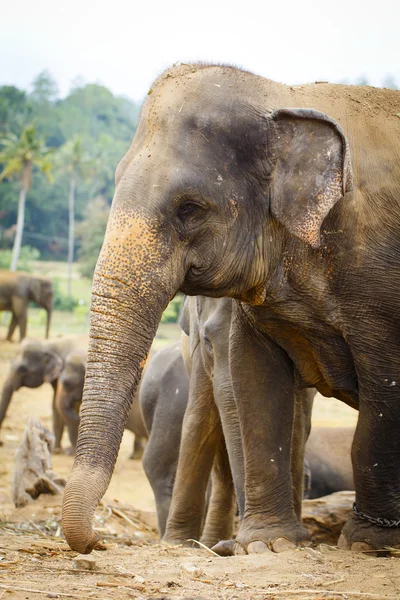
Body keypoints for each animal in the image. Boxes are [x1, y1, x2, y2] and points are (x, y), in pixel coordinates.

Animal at [61, 63, 400, 556]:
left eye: (189, 208)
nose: (98, 541)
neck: (281, 93)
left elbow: (384, 390)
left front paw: (367, 544)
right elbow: (253, 377)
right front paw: (270, 544)